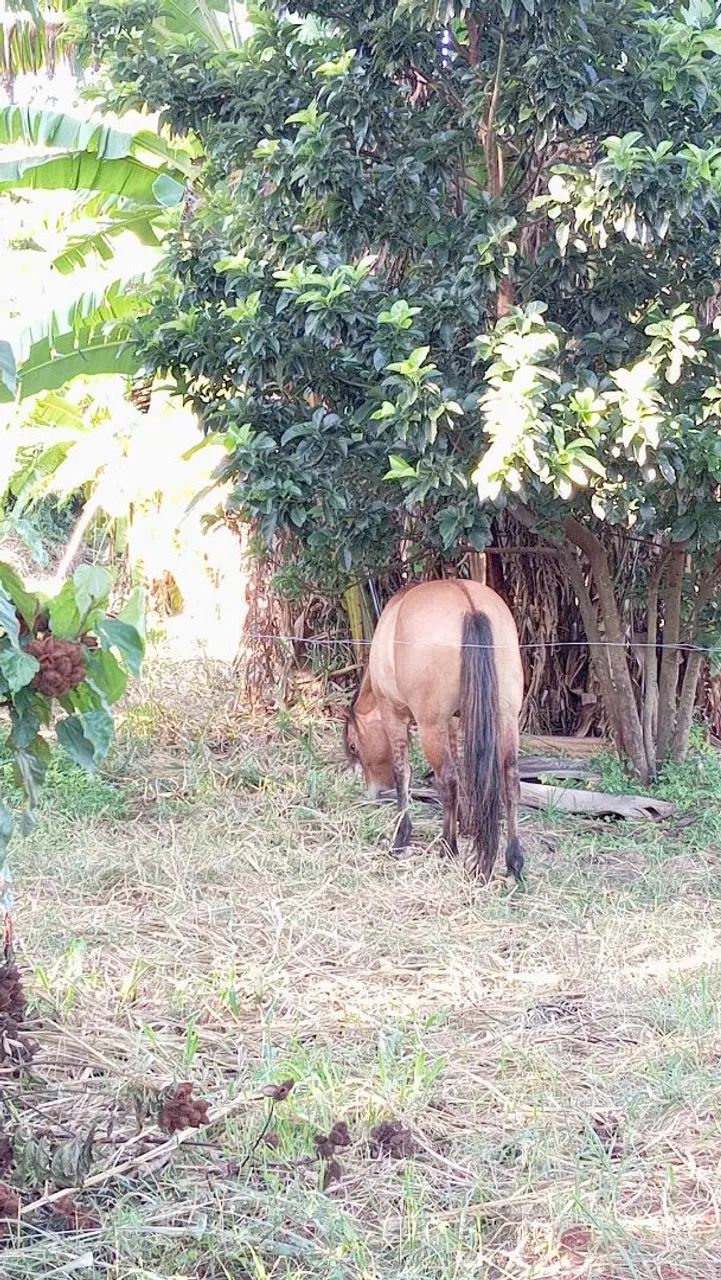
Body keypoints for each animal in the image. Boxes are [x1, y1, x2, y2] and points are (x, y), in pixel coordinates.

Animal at [343, 579, 524, 880]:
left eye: (354, 746)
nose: (373, 792)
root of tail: (469, 604)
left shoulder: (394, 714)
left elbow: (403, 772)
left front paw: (401, 837)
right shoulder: (451, 721)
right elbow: (462, 769)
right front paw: (465, 823)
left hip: (430, 725)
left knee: (446, 778)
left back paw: (448, 846)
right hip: (506, 716)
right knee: (509, 776)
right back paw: (514, 860)